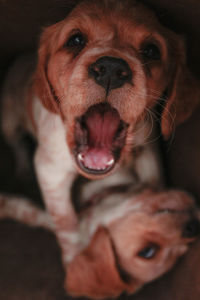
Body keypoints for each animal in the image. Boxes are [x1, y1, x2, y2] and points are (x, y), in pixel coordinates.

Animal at [1, 0, 198, 262]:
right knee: (17, 145)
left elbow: (154, 182)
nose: (112, 69)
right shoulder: (50, 171)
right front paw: (75, 258)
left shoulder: (148, 148)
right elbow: (66, 224)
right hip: (9, 123)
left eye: (151, 51)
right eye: (75, 40)